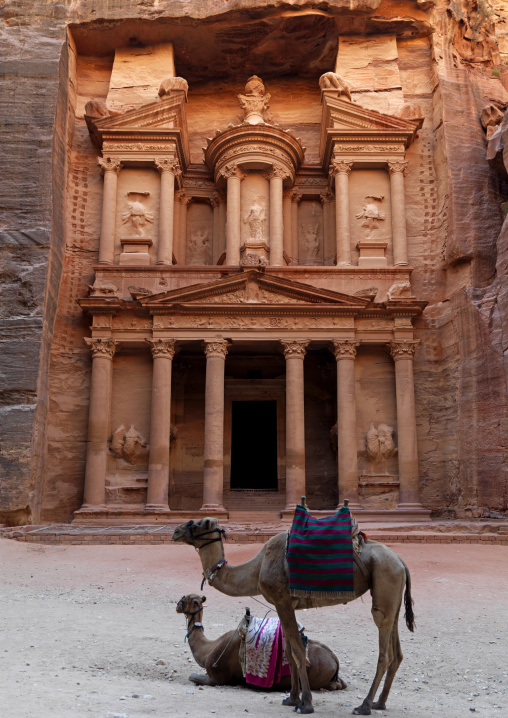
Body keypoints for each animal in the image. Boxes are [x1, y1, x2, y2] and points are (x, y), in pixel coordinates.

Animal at [176, 593, 346, 690]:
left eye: (186, 598)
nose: (177, 604)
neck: (208, 649)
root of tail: (334, 659)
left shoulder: (216, 677)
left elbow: (192, 677)